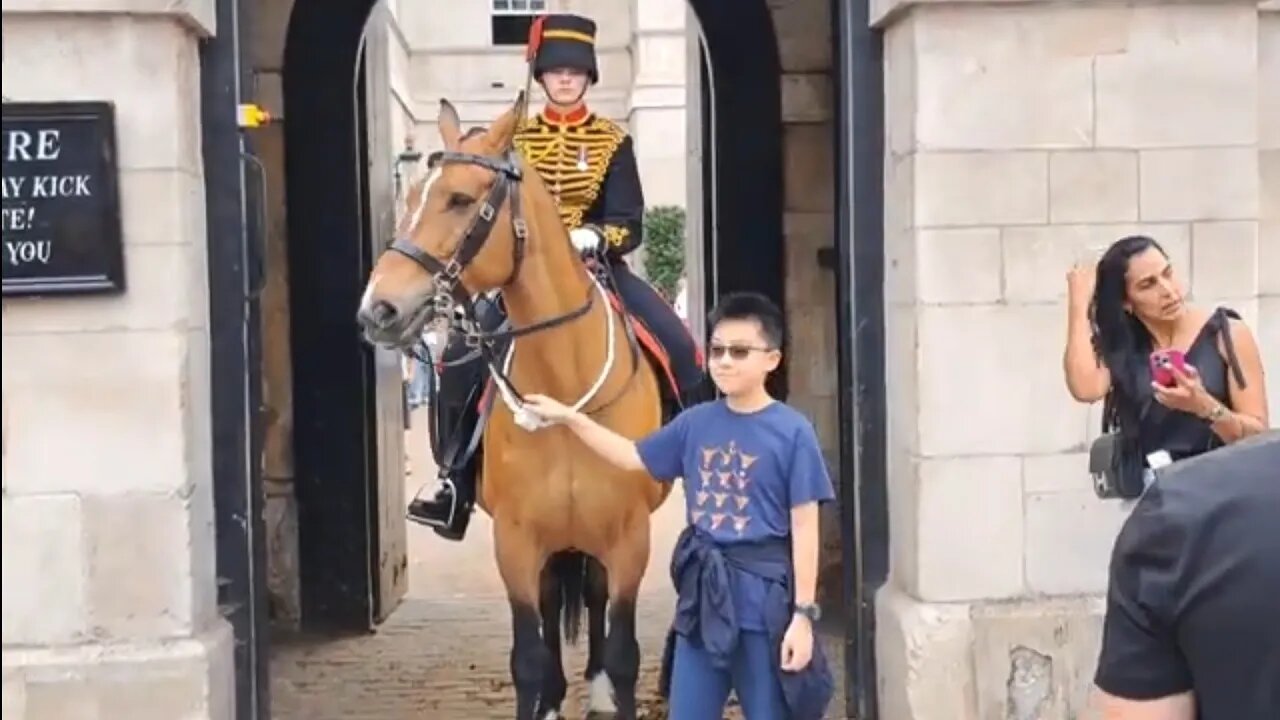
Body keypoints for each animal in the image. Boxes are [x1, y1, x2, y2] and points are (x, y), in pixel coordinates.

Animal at [350, 94, 670, 717]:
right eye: (413, 195)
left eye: (459, 199)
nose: (378, 310)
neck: (564, 392)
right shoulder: (516, 542)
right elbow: (528, 658)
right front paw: (544, 695)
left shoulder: (628, 540)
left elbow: (622, 653)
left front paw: (606, 686)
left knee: (593, 600)